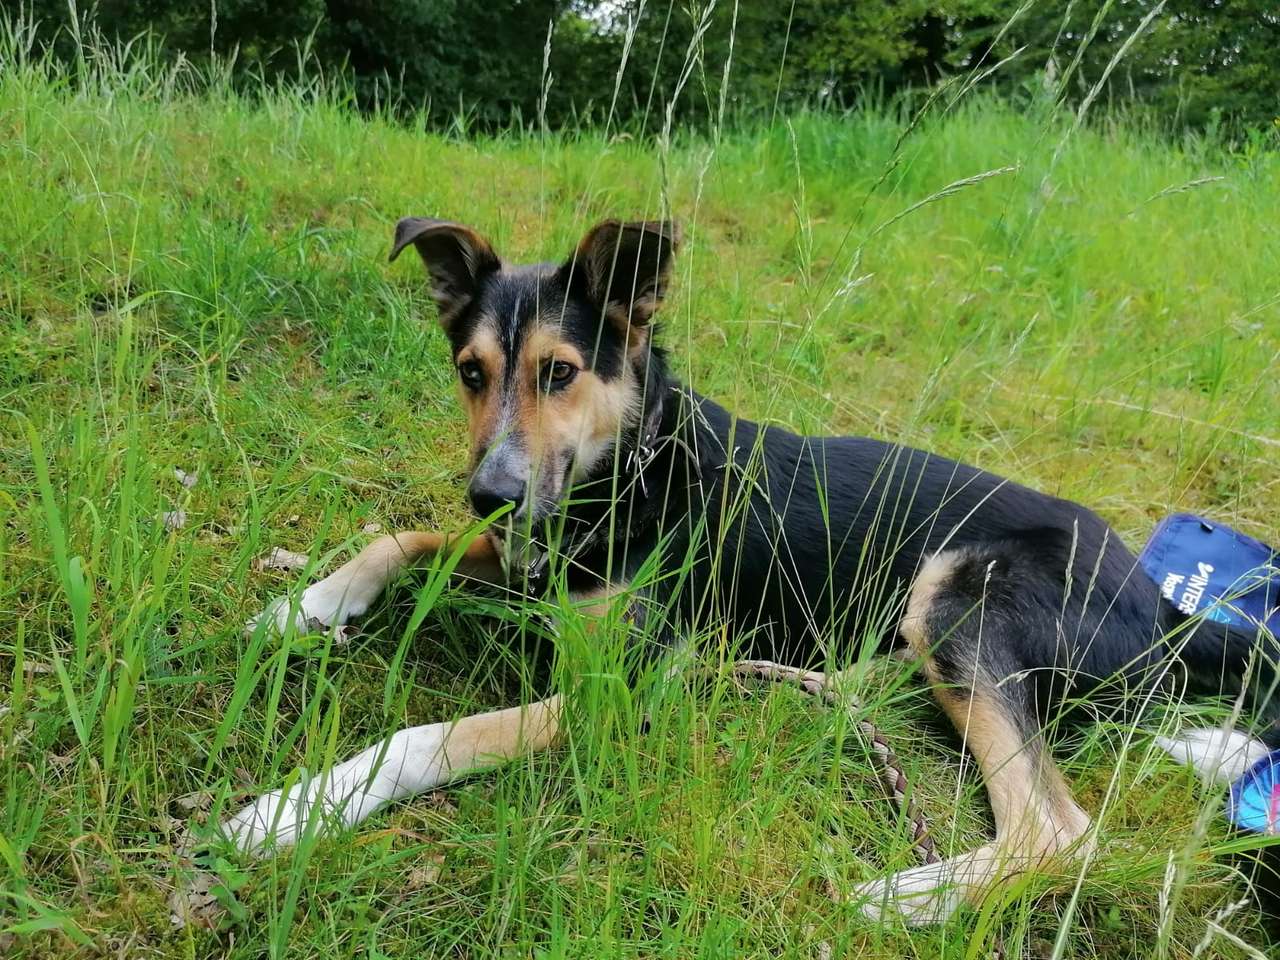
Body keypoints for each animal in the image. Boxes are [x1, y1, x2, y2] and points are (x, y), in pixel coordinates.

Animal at [222, 216, 1280, 926]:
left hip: (959, 596)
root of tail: (1166, 606)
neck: (632, 469)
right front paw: (309, 603)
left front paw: (295, 807)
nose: (489, 493)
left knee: (1057, 829)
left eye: (560, 371)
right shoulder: (531, 556)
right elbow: (402, 538)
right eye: (471, 372)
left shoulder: (619, 689)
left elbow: (424, 737)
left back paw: (906, 895)